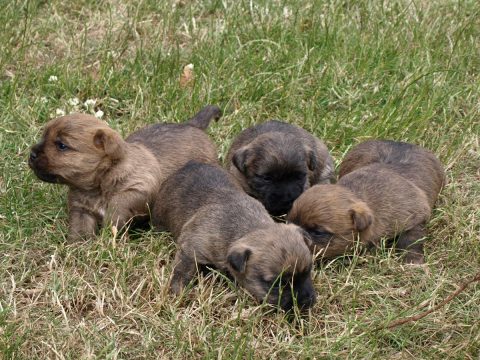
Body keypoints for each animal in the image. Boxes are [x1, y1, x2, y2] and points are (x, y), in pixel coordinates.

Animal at [28, 107, 219, 242]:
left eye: (61, 145)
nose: (31, 154)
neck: (100, 182)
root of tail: (193, 125)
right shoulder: (81, 209)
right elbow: (79, 229)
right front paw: (78, 247)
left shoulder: (140, 188)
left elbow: (119, 202)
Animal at [151, 162, 316, 310]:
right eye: (276, 285)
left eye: (308, 272)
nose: (306, 303)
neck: (247, 228)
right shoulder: (191, 248)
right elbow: (182, 270)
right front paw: (176, 291)